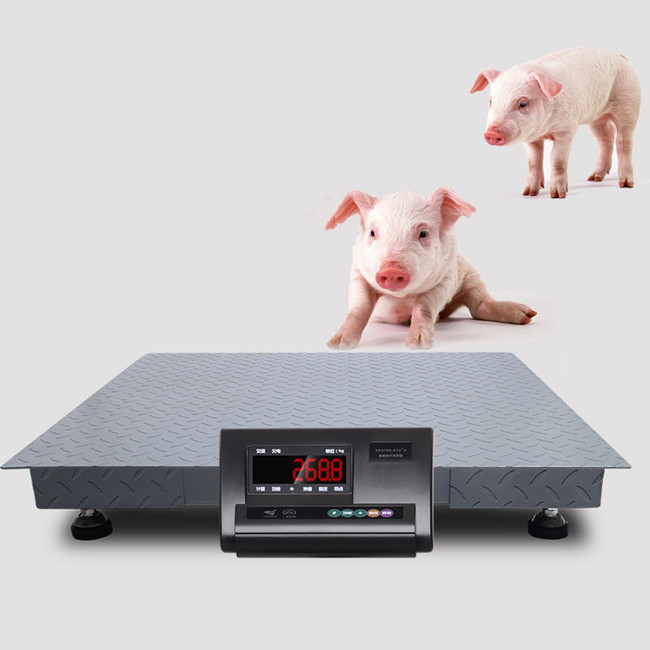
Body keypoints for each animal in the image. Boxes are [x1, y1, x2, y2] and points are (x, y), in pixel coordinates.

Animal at [326, 188, 536, 349]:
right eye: (372, 232)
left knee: (479, 305)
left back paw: (528, 315)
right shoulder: (358, 272)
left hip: (471, 275)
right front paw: (337, 344)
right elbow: (359, 306)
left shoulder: (447, 277)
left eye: (423, 233)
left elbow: (424, 306)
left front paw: (418, 345)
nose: (392, 270)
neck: (403, 298)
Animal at [470, 48, 641, 198]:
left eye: (523, 103)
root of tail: (621, 57)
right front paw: (529, 193)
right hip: (596, 118)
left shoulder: (566, 130)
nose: (492, 132)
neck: (545, 129)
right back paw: (594, 178)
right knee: (606, 138)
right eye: (491, 101)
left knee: (624, 142)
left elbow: (557, 160)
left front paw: (558, 195)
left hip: (629, 105)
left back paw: (626, 184)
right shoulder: (529, 138)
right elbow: (533, 161)